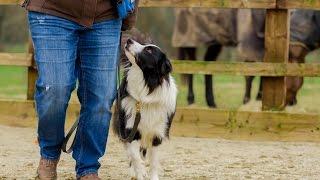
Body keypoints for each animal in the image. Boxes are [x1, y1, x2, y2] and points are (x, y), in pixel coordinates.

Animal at [112, 38, 178, 180]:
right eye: (144, 45)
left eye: (149, 50)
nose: (129, 40)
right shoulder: (131, 130)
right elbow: (135, 156)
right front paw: (140, 172)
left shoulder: (157, 134)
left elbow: (153, 161)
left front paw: (152, 176)